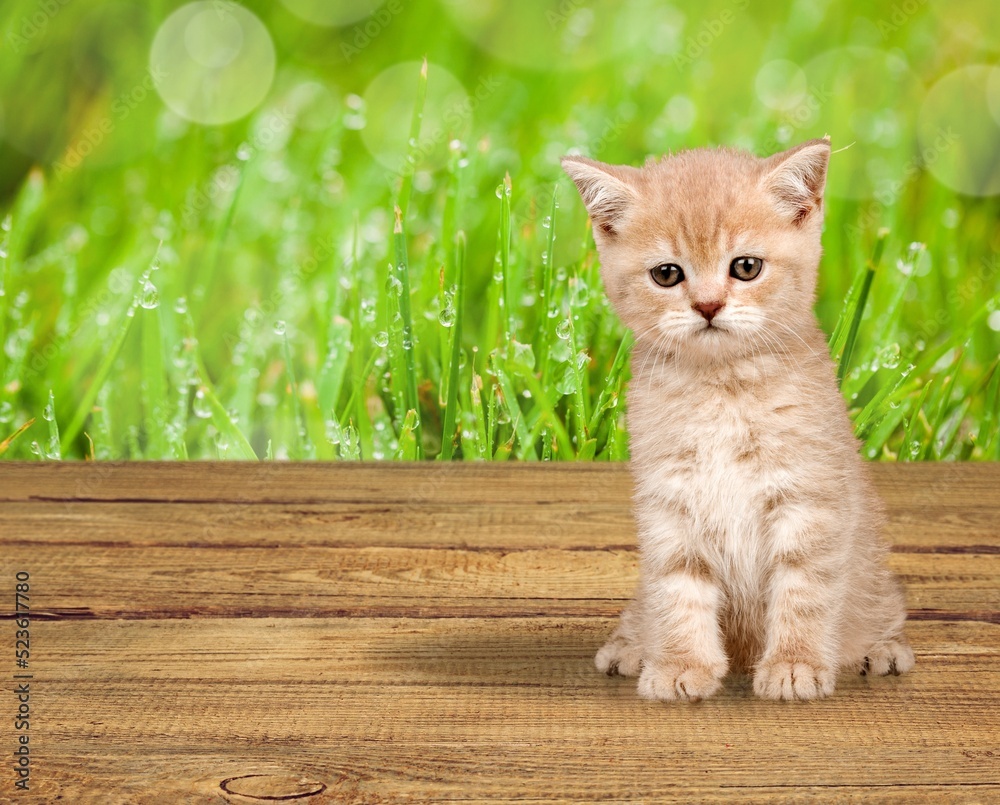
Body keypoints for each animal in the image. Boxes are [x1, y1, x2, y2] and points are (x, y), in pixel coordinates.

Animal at [564, 141, 916, 700]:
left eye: (746, 267)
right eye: (667, 274)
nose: (708, 305)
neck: (722, 390)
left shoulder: (808, 500)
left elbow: (804, 589)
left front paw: (794, 665)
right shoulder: (670, 504)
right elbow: (677, 591)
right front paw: (681, 664)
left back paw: (879, 650)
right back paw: (632, 645)